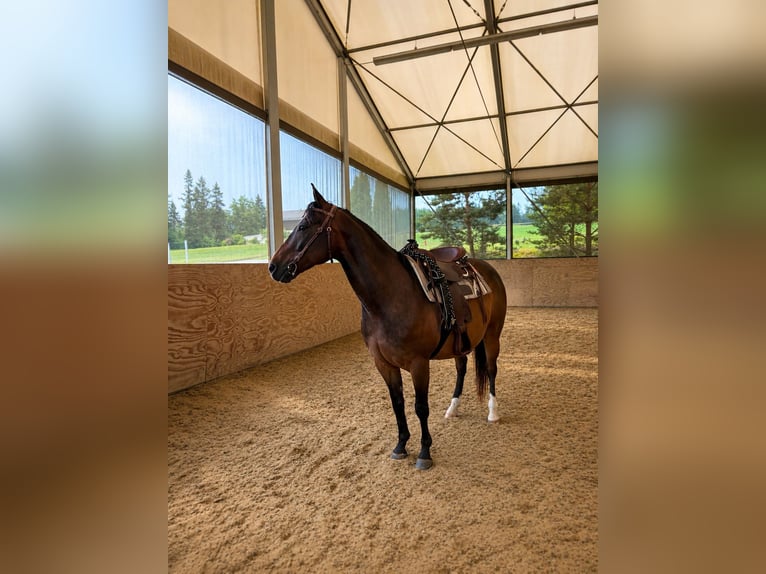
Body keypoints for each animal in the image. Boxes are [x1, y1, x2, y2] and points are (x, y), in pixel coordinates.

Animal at [268, 185, 507, 470]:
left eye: (303, 226)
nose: (273, 266)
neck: (390, 295)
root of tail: (486, 268)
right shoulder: (383, 363)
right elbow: (397, 403)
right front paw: (401, 446)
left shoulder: (418, 364)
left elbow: (420, 407)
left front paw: (424, 453)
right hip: (461, 341)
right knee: (462, 368)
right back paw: (453, 408)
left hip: (492, 336)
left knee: (491, 369)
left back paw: (493, 412)